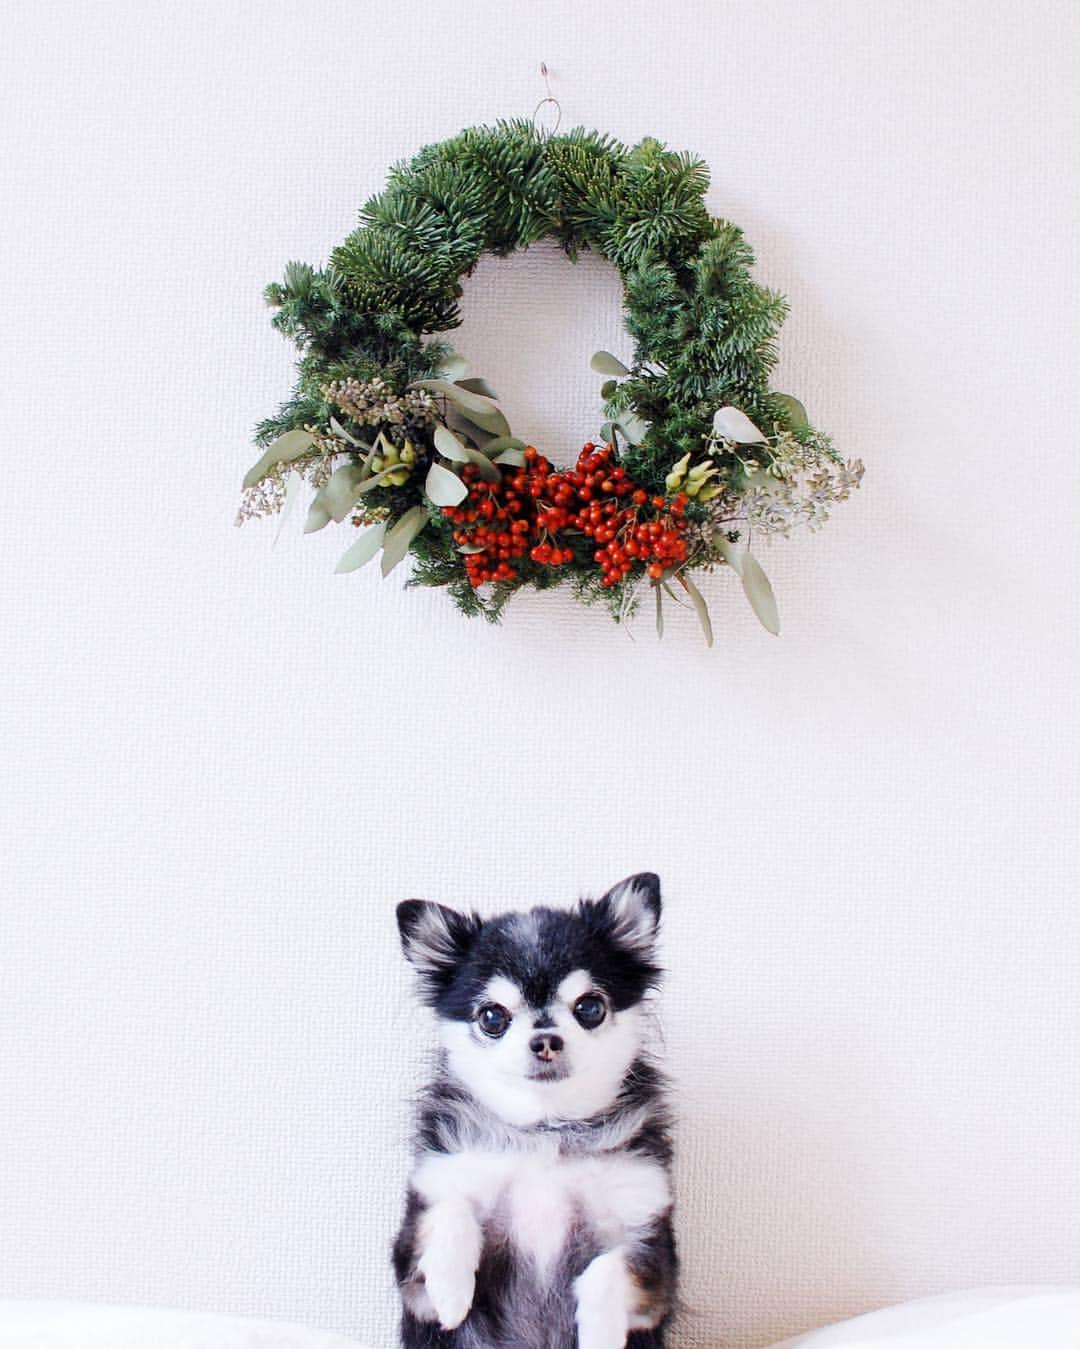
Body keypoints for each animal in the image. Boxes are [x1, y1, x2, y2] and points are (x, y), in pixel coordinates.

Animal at [391, 868, 674, 1343]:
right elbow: (448, 1212)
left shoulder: (652, 1261)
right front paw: (450, 1288)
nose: (545, 1040)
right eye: (492, 1017)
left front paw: (600, 1334)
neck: (544, 1130)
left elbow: (609, 1270)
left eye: (590, 1007)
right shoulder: (413, 1276)